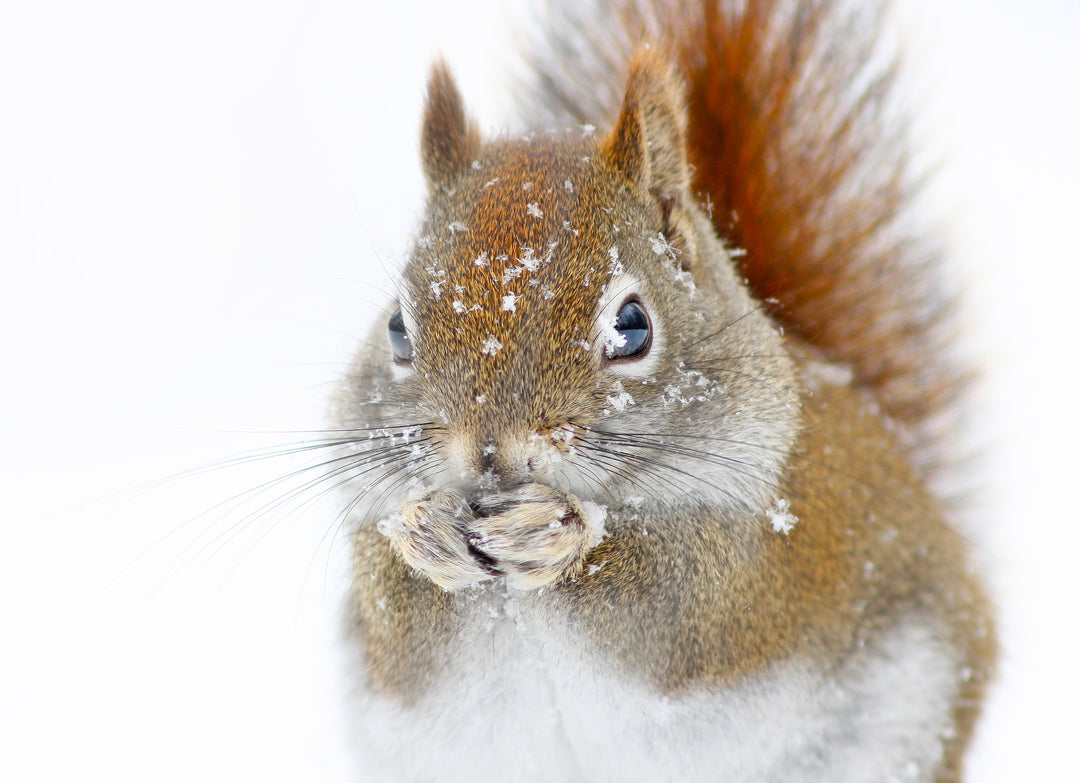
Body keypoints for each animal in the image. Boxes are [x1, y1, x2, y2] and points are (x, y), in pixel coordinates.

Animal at [330, 0, 995, 780]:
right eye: (397, 330)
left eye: (632, 326)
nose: (489, 452)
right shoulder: (395, 651)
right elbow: (398, 623)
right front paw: (423, 530)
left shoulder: (754, 572)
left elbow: (671, 606)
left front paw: (559, 531)